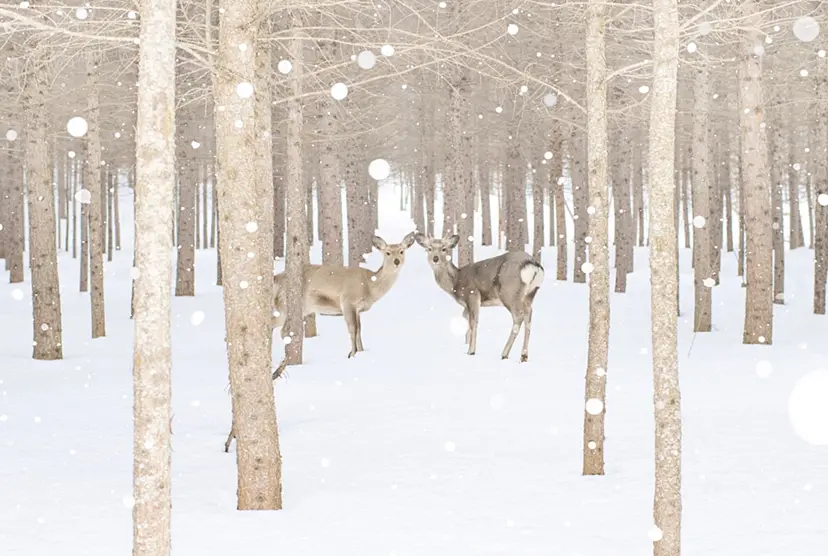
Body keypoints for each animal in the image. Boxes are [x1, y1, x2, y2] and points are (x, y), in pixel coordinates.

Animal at [271, 231, 416, 359]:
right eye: (388, 252)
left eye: (402, 251)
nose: (397, 261)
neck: (370, 287)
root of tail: (277, 278)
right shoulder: (347, 301)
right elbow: (353, 330)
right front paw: (352, 354)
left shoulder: (358, 309)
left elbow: (359, 330)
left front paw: (360, 351)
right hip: (289, 305)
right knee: (283, 331)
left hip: (291, 309)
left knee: (273, 324)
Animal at [414, 233, 544, 362]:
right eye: (429, 249)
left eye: (444, 249)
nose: (435, 258)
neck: (455, 283)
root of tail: (533, 265)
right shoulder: (466, 305)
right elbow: (465, 320)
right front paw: (466, 344)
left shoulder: (473, 295)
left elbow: (473, 323)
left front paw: (471, 351)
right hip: (529, 295)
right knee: (529, 316)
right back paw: (524, 356)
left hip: (509, 292)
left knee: (518, 317)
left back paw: (504, 353)